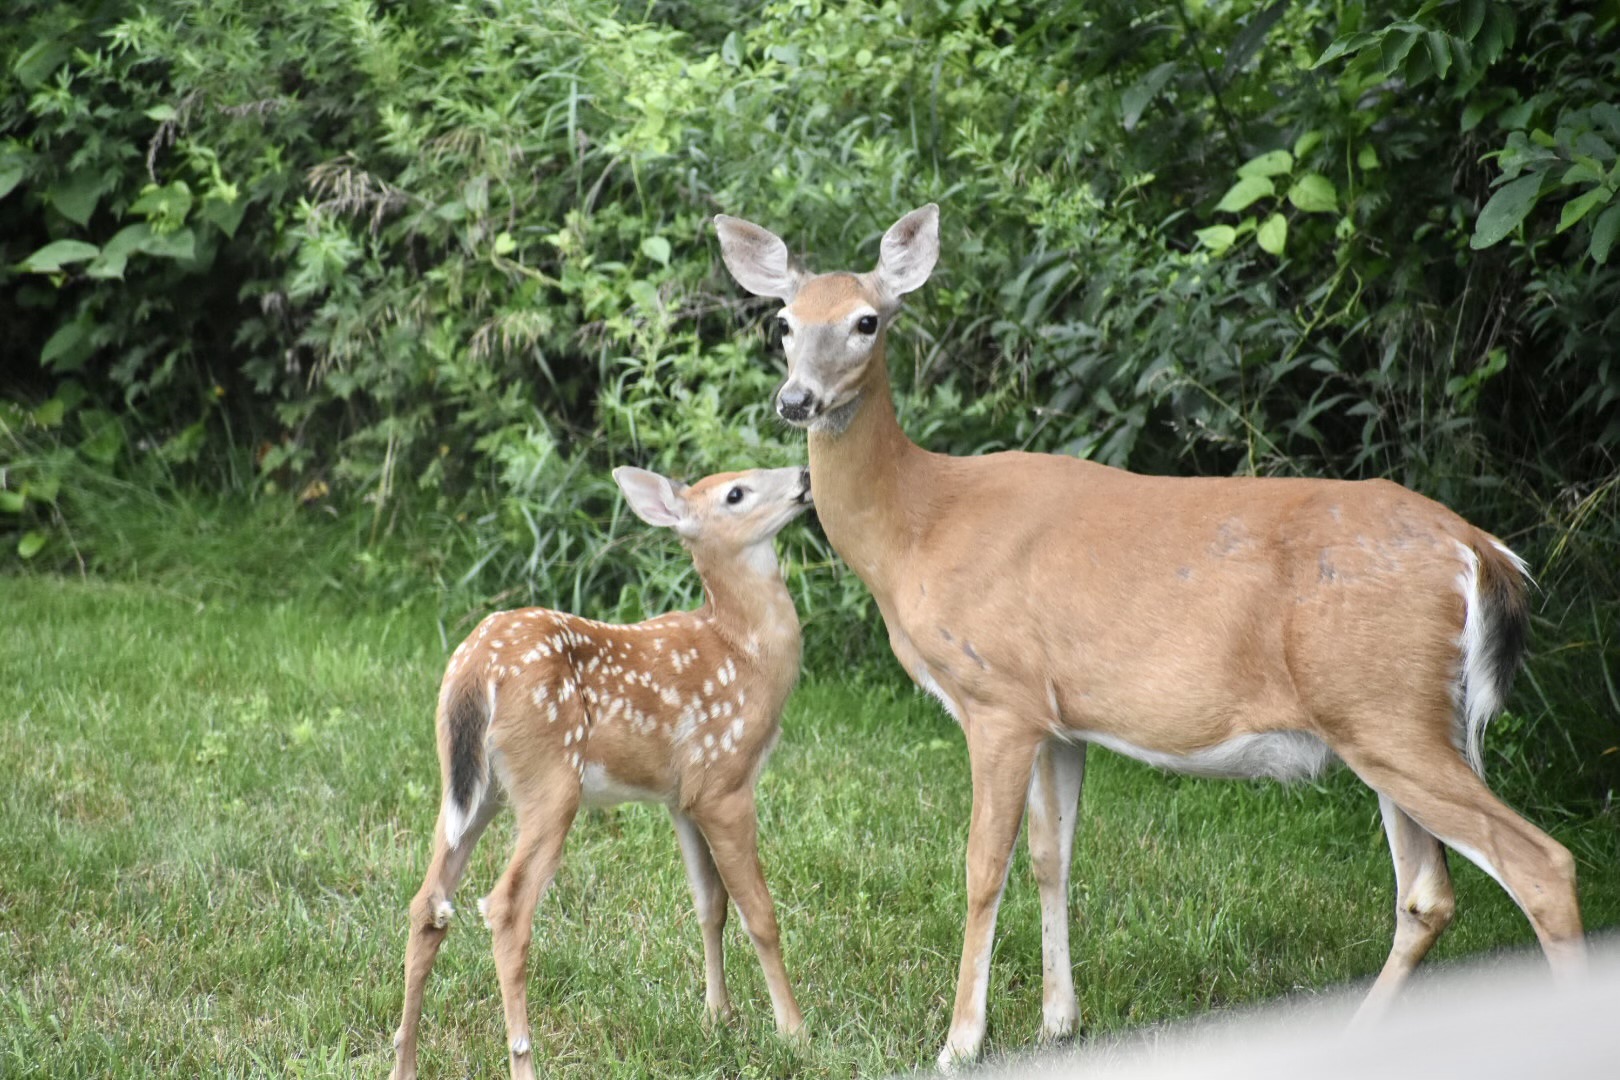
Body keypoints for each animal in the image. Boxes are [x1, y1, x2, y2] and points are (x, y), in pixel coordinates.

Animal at [389, 464, 812, 1080]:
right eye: (737, 493)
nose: (805, 475)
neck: (743, 650)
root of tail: (475, 669)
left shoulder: (681, 798)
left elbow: (709, 905)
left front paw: (719, 1017)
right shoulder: (725, 780)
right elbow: (759, 912)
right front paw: (794, 1033)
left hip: (470, 787)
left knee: (429, 903)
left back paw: (405, 1061)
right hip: (551, 779)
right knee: (506, 907)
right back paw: (524, 1060)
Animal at [713, 204, 1587, 1069]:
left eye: (866, 321)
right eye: (784, 322)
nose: (797, 400)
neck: (917, 528)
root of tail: (1480, 550)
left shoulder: (997, 697)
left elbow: (982, 867)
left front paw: (960, 1042)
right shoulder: (1058, 717)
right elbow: (1052, 857)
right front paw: (1059, 1024)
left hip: (1389, 710)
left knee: (1542, 866)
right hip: (1388, 717)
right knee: (1427, 894)